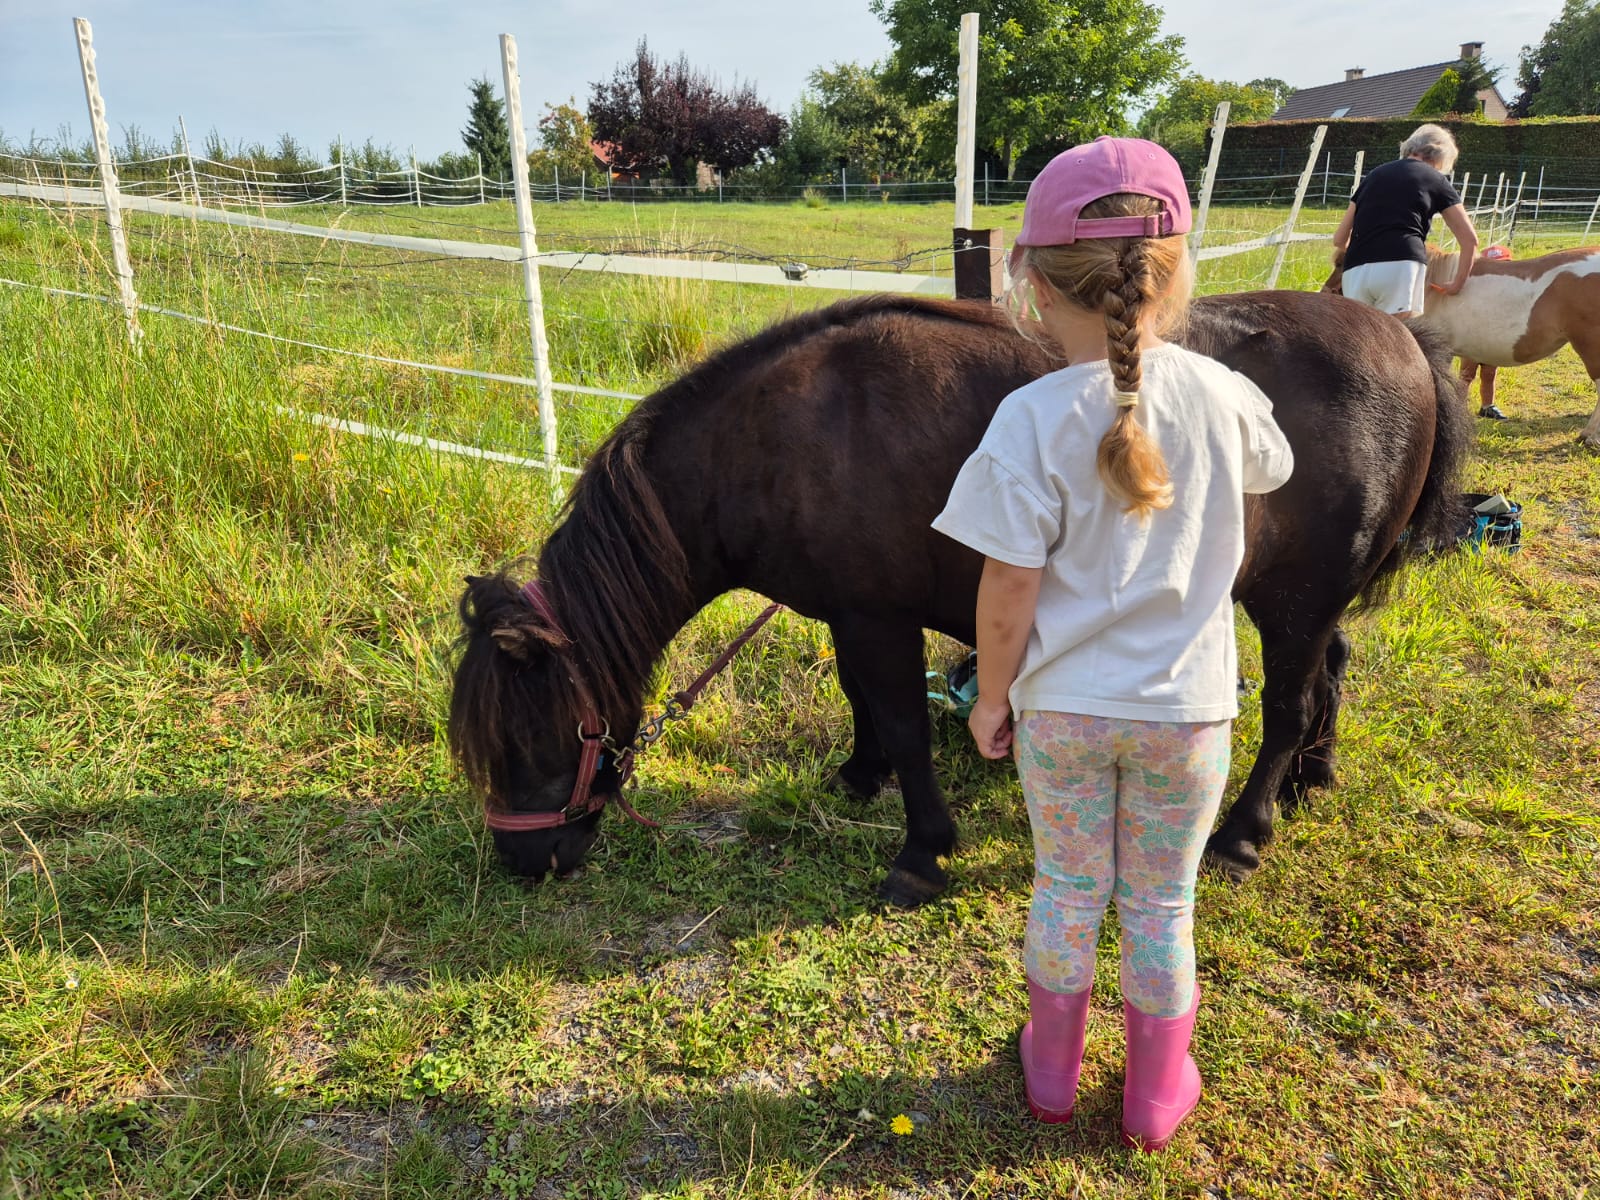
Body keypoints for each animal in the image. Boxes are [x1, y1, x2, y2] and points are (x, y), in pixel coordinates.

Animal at [449, 291, 1470, 908]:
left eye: (533, 738)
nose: (522, 860)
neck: (774, 438)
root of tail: (1407, 342)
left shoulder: (878, 617)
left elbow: (905, 723)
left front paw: (920, 849)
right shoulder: (851, 611)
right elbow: (863, 705)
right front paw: (859, 776)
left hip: (1295, 601)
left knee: (1291, 702)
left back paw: (1247, 831)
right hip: (1312, 603)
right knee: (1332, 673)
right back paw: (1309, 779)